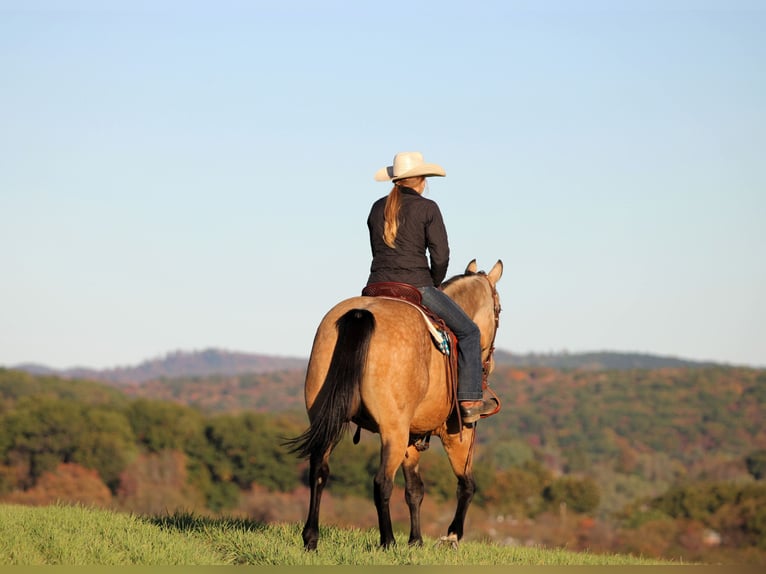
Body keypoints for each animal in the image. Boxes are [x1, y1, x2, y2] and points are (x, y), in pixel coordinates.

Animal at [286, 259, 503, 550]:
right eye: (498, 309)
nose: (490, 362)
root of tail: (360, 314)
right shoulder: (459, 432)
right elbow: (466, 484)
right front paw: (452, 535)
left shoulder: (412, 438)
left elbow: (414, 489)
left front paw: (416, 540)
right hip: (393, 431)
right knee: (382, 482)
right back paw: (387, 541)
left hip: (329, 418)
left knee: (319, 471)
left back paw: (311, 538)